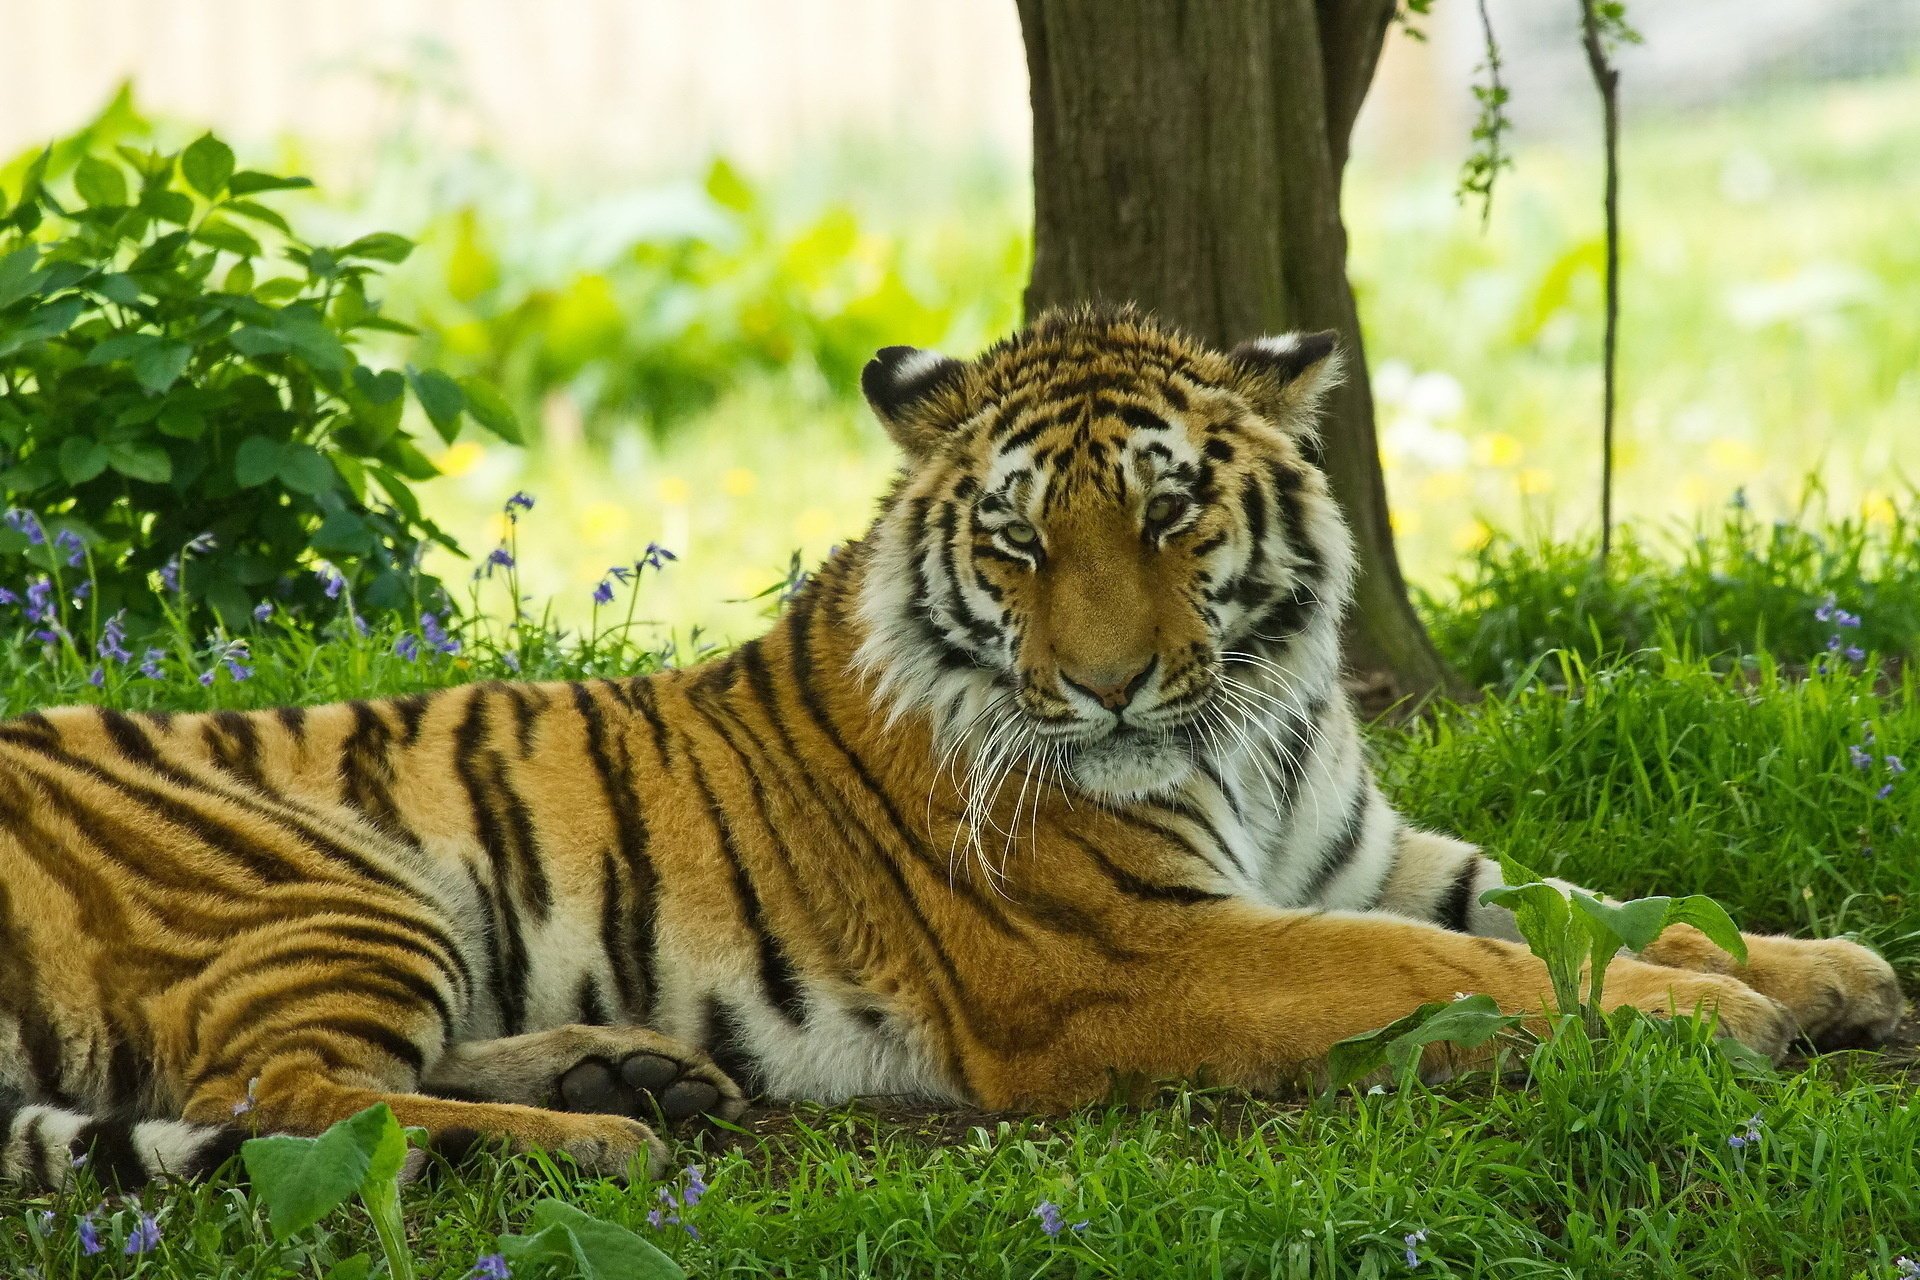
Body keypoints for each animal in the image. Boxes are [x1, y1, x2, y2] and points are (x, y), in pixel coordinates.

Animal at [0, 305, 1904, 1190]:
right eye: (1016, 543)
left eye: (1167, 515)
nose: (1115, 689)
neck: (1255, 723)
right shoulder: (1144, 955)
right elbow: (1483, 973)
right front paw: (1717, 1025)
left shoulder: (1374, 858)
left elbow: (1595, 902)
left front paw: (1828, 973)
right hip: (328, 881)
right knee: (275, 1101)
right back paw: (600, 1144)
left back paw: (629, 1077)